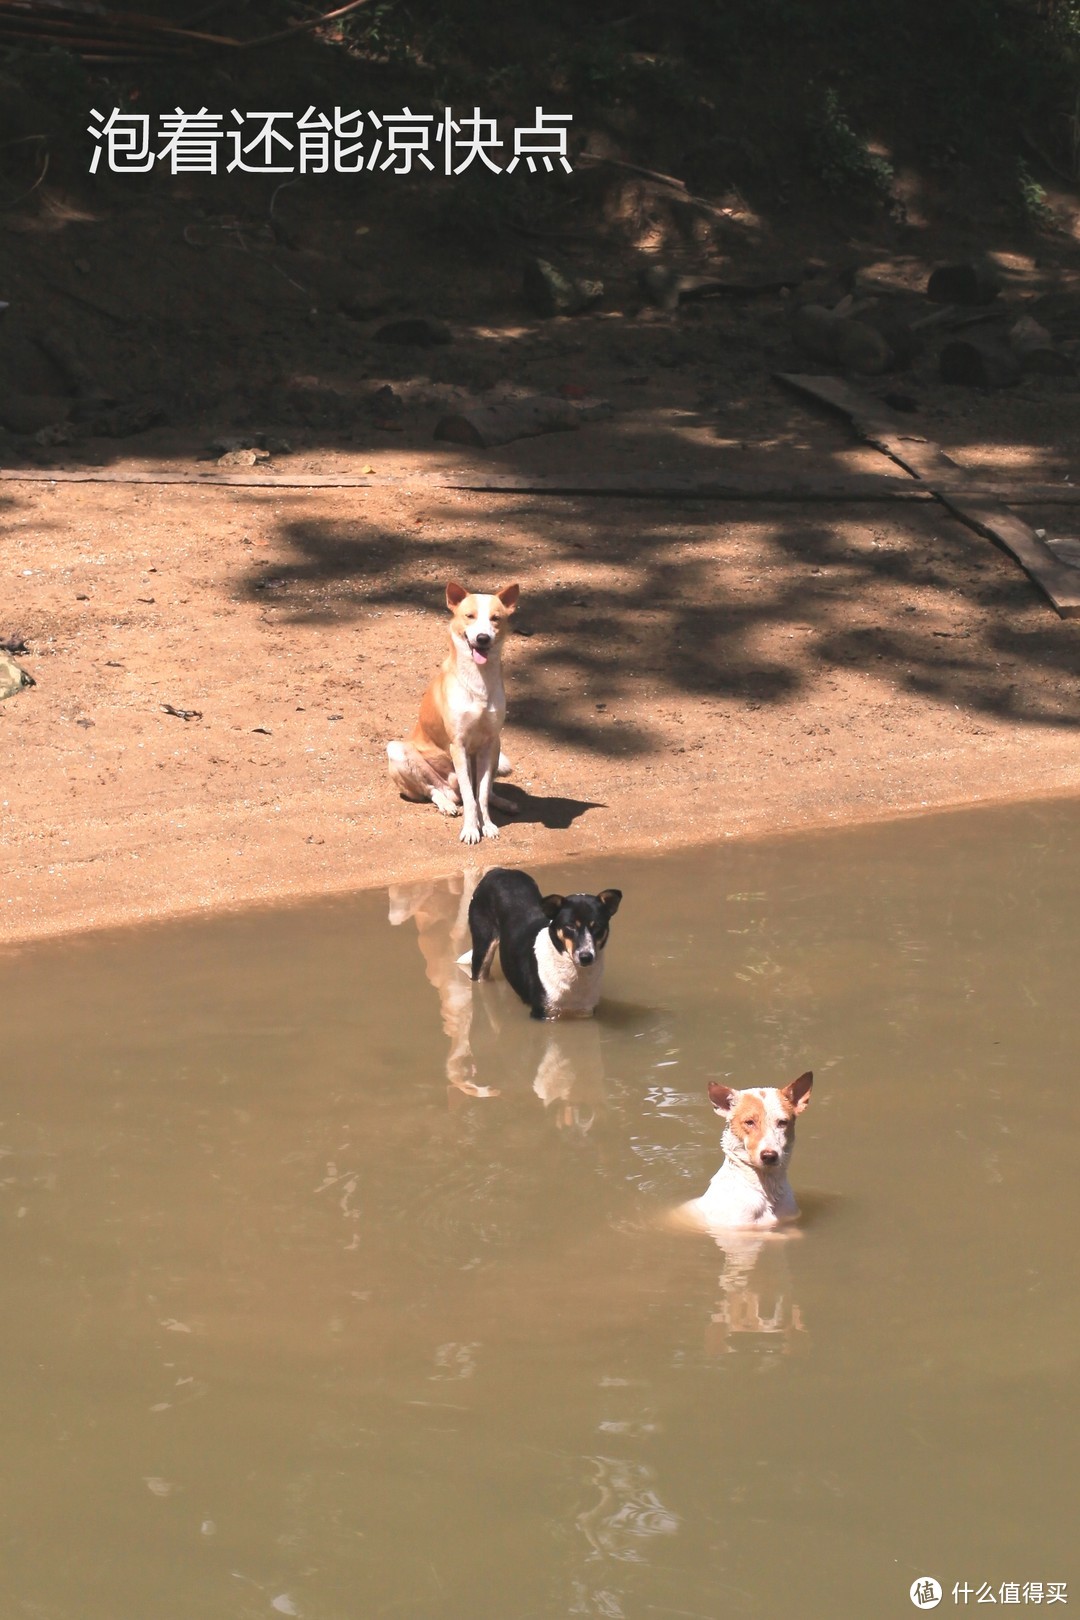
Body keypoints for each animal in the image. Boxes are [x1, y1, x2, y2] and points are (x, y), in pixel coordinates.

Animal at [386, 579, 521, 848]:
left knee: (486, 791)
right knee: (433, 791)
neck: (479, 681)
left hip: (498, 748)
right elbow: (470, 798)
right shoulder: (457, 745)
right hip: (396, 751)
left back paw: (503, 803)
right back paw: (447, 804)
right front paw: (471, 829)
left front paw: (487, 825)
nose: (482, 638)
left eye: (496, 618)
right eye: (469, 616)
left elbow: (481, 794)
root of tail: (451, 789)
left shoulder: (489, 742)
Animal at [459, 868, 621, 1017]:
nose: (586, 957)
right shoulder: (543, 1013)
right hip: (482, 949)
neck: (574, 974)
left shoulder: (585, 1012)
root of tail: (498, 870)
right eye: (570, 926)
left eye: (598, 926)